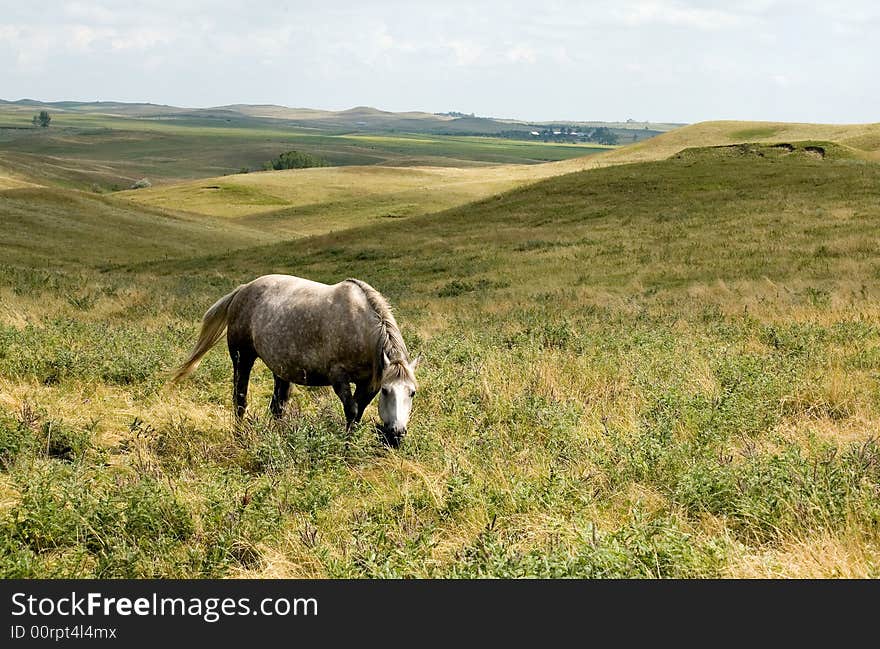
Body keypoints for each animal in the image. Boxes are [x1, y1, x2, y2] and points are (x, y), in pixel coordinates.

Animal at [174, 274, 420, 446]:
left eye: (412, 392)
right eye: (387, 391)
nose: (397, 435)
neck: (361, 328)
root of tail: (242, 290)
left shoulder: (368, 383)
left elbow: (357, 414)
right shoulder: (339, 377)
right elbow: (351, 411)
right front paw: (346, 448)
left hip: (281, 369)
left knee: (277, 407)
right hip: (242, 358)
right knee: (240, 400)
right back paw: (240, 437)